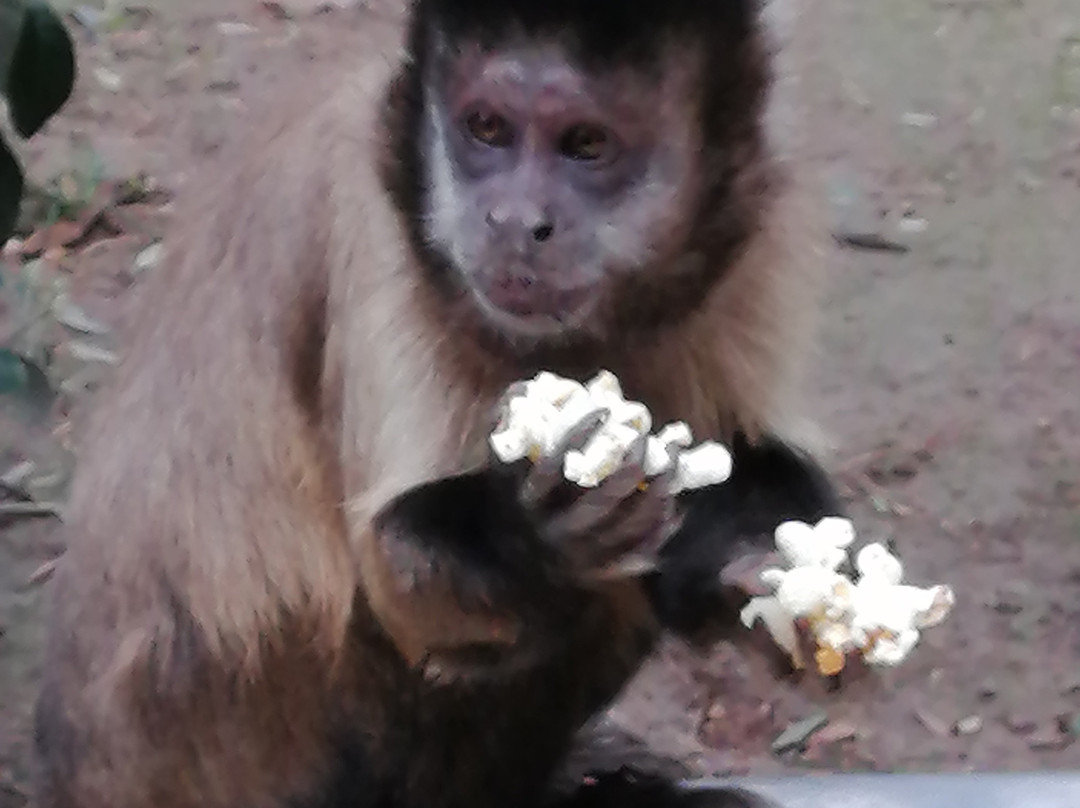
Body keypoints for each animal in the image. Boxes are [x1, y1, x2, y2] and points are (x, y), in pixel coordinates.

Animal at [30, 1, 842, 807]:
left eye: (586, 144)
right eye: (486, 128)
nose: (513, 222)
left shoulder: (757, 210)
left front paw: (749, 550)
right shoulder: (375, 211)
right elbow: (396, 571)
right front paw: (535, 534)